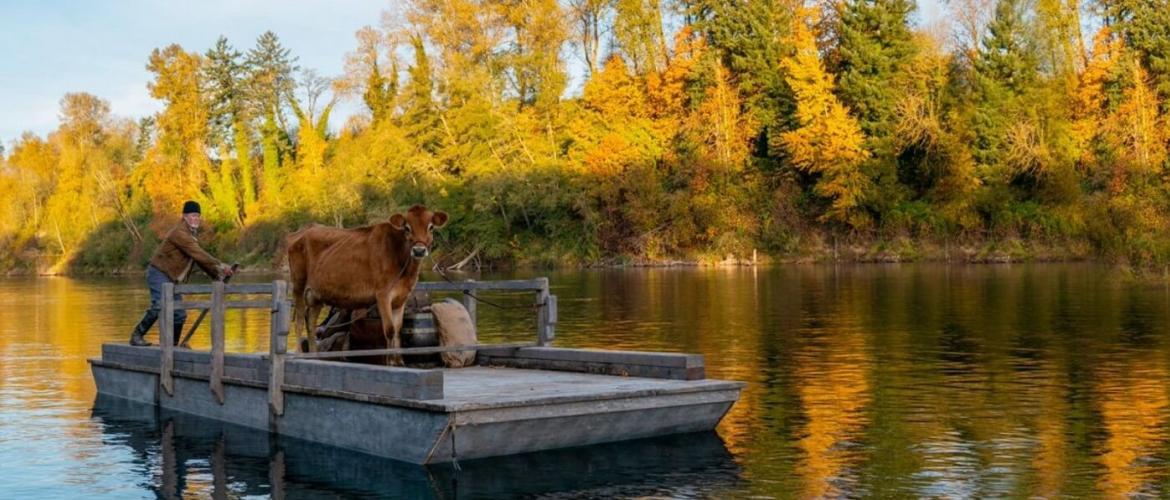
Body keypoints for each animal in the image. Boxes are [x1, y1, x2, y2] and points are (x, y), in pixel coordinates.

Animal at [286, 205, 448, 365]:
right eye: (407, 228)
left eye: (431, 227)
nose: (419, 250)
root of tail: (305, 229)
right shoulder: (383, 294)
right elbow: (389, 330)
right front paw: (390, 361)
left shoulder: (401, 298)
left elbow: (397, 330)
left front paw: (398, 361)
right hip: (298, 284)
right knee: (299, 319)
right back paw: (299, 354)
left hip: (317, 294)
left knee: (310, 320)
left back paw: (314, 355)